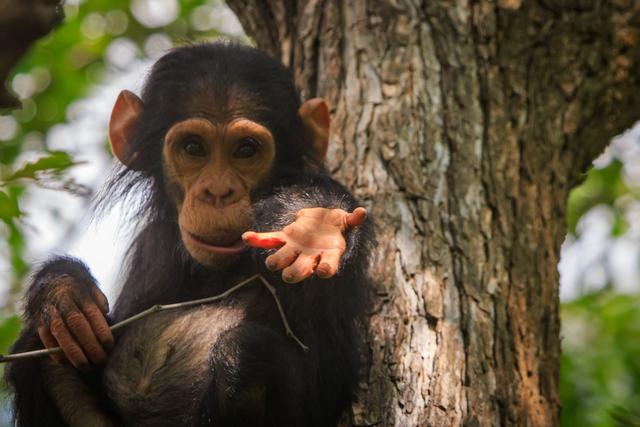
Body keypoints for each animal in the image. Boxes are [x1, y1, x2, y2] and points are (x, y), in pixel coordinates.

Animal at [3, 41, 376, 427]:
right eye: (193, 148)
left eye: (246, 150)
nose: (217, 190)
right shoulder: (150, 242)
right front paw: (64, 291)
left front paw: (315, 227)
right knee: (42, 351)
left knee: (245, 355)